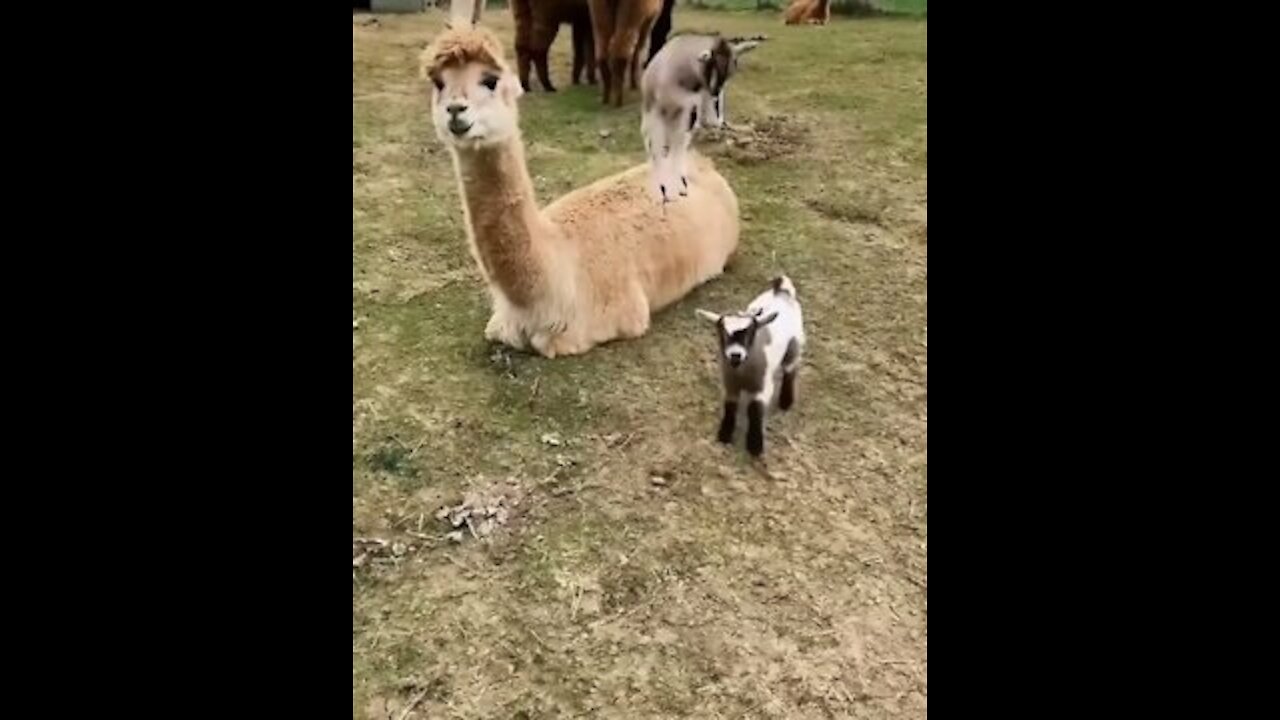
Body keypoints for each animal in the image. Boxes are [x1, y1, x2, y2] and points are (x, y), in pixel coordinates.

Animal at [696, 274, 803, 453]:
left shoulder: (762, 387)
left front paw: (755, 445)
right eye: (722, 333)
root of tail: (781, 291)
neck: (742, 373)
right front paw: (724, 434)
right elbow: (730, 407)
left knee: (790, 369)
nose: (735, 355)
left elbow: (754, 410)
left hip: (794, 344)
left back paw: (786, 401)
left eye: (750, 332)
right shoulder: (730, 385)